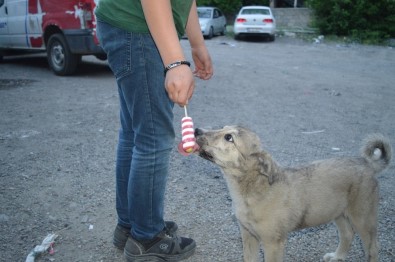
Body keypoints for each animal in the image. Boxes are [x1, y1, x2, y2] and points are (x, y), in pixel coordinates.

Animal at [195, 126, 392, 260]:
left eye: (229, 137)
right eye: (223, 128)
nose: (196, 130)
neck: (255, 188)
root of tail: (367, 164)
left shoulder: (273, 243)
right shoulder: (248, 236)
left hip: (363, 217)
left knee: (373, 247)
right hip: (338, 212)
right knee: (347, 234)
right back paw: (337, 256)